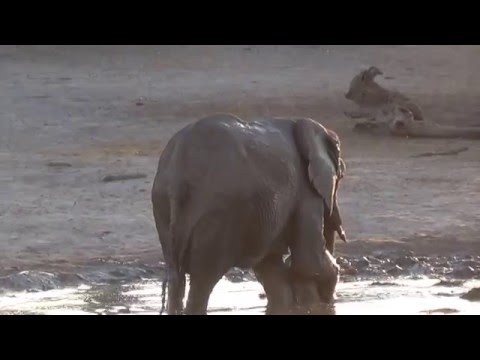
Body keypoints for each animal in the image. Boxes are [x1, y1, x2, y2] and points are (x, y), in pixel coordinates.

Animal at [153, 114, 344, 314]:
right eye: (341, 176)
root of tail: (178, 176)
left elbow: (271, 268)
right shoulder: (305, 190)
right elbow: (309, 262)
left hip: (163, 205)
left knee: (176, 278)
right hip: (219, 213)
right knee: (202, 280)